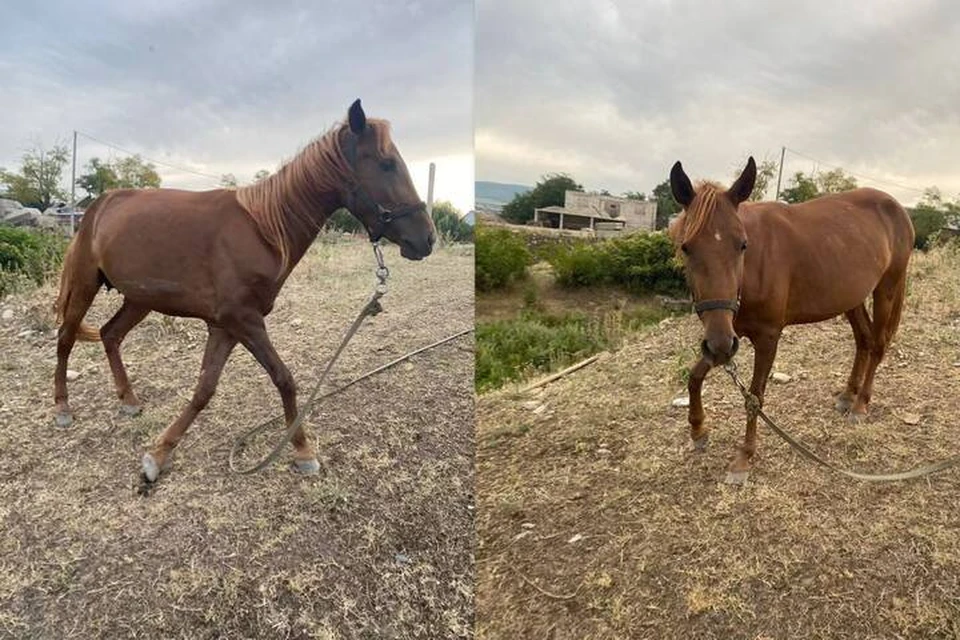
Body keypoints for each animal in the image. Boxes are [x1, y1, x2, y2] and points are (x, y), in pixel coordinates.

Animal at [52, 99, 436, 480]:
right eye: (387, 164)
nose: (427, 239)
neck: (264, 229)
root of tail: (99, 205)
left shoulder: (225, 326)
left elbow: (205, 389)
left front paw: (160, 453)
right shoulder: (243, 320)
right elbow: (284, 379)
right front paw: (303, 450)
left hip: (138, 298)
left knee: (110, 334)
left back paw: (129, 401)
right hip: (86, 285)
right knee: (66, 338)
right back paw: (62, 407)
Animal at [668, 158, 916, 482]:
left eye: (742, 245)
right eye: (686, 247)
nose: (720, 346)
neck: (752, 269)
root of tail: (898, 208)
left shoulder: (766, 337)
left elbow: (754, 398)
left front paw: (744, 458)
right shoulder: (727, 333)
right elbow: (695, 376)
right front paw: (698, 430)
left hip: (886, 288)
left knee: (876, 344)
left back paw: (861, 404)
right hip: (851, 297)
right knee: (863, 340)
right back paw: (847, 395)